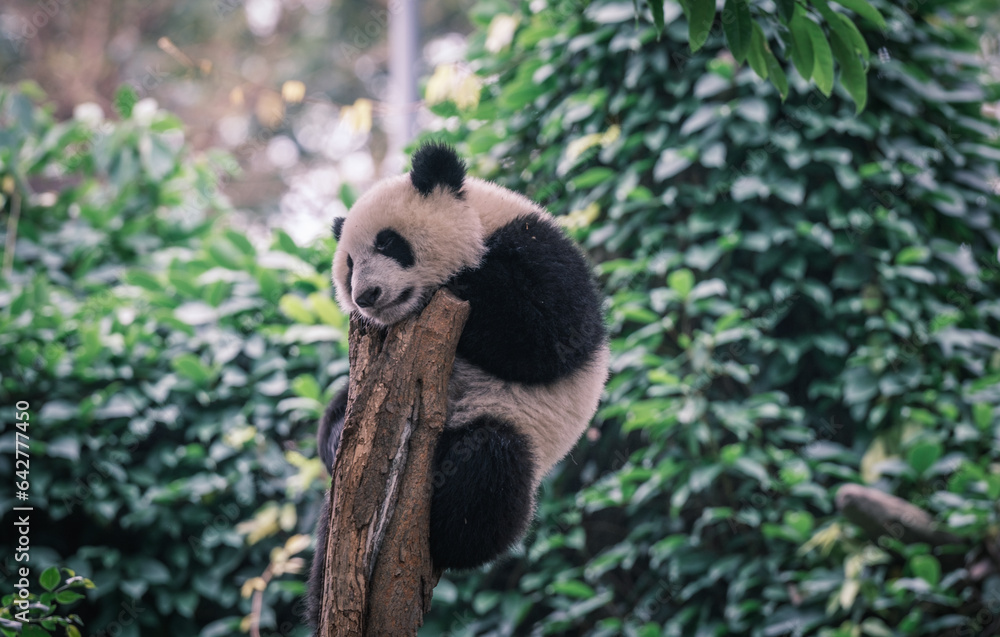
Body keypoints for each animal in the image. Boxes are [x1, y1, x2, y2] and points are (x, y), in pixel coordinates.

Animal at [307, 142, 609, 628]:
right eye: (348, 265)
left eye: (388, 242)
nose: (364, 296)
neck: (482, 221)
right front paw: (334, 440)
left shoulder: (541, 249)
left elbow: (549, 334)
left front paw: (463, 281)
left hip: (516, 427)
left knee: (489, 463)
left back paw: (446, 533)